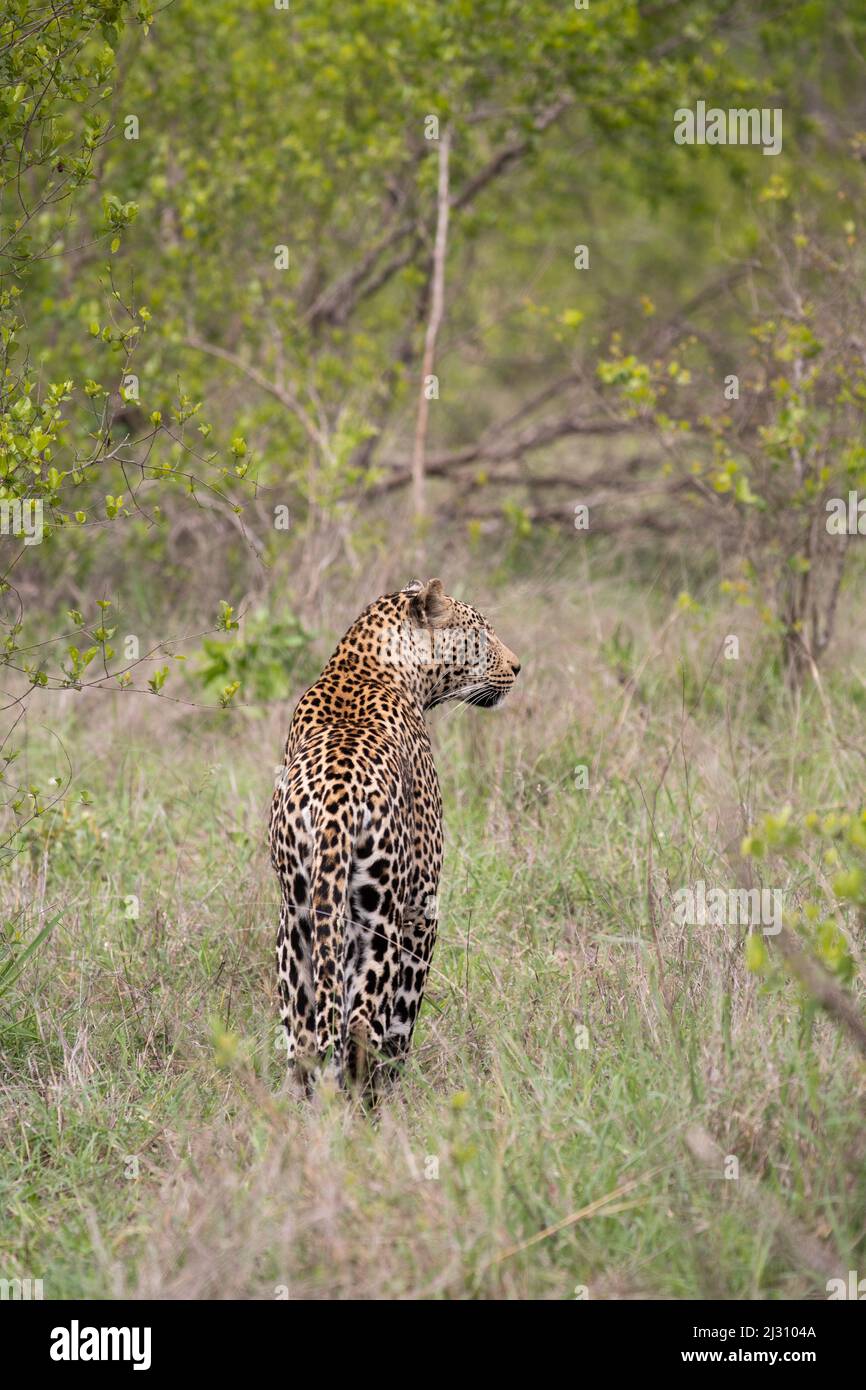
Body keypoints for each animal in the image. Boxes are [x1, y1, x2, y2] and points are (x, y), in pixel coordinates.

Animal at [268, 578, 517, 1095]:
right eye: (482, 633)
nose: (518, 666)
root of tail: (337, 804)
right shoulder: (423, 908)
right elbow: (406, 1013)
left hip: (294, 922)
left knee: (303, 1041)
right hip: (377, 922)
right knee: (363, 1028)